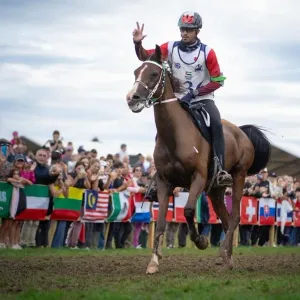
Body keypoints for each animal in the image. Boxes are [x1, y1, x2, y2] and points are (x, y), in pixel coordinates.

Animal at [125, 45, 270, 274]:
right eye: (136, 72)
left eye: (154, 74)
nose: (133, 98)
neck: (175, 136)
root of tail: (242, 132)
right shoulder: (165, 182)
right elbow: (162, 221)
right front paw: (154, 262)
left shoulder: (198, 179)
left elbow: (188, 210)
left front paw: (201, 241)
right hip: (215, 190)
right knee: (225, 218)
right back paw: (227, 259)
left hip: (238, 176)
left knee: (235, 216)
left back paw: (222, 254)